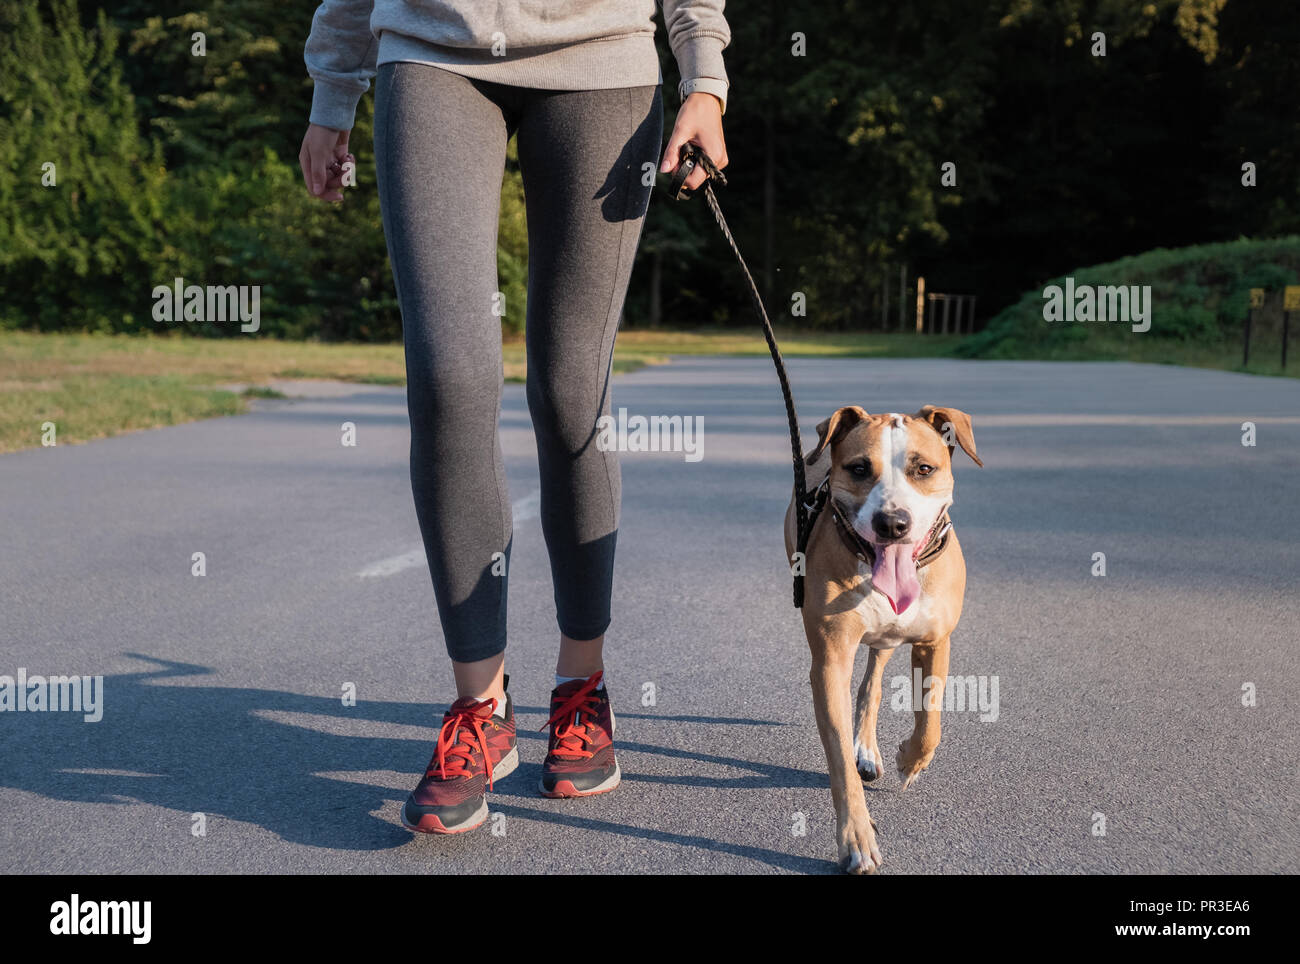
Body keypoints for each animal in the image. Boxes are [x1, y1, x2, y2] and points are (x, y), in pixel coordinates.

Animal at [780, 402, 982, 873]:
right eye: (858, 468)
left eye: (923, 468)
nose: (892, 523)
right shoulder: (830, 662)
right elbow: (839, 763)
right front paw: (856, 838)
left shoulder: (935, 642)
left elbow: (930, 721)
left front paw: (910, 760)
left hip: (889, 641)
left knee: (871, 684)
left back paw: (870, 749)